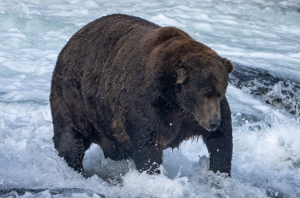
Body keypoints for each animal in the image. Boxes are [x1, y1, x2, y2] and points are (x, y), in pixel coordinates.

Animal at [50, 13, 234, 175]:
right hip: (74, 96)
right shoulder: (151, 105)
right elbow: (148, 143)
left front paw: (219, 173)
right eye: (203, 94)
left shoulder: (194, 116)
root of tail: (71, 39)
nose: (213, 122)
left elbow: (221, 139)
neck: (176, 100)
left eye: (219, 92)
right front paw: (153, 174)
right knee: (71, 136)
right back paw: (74, 167)